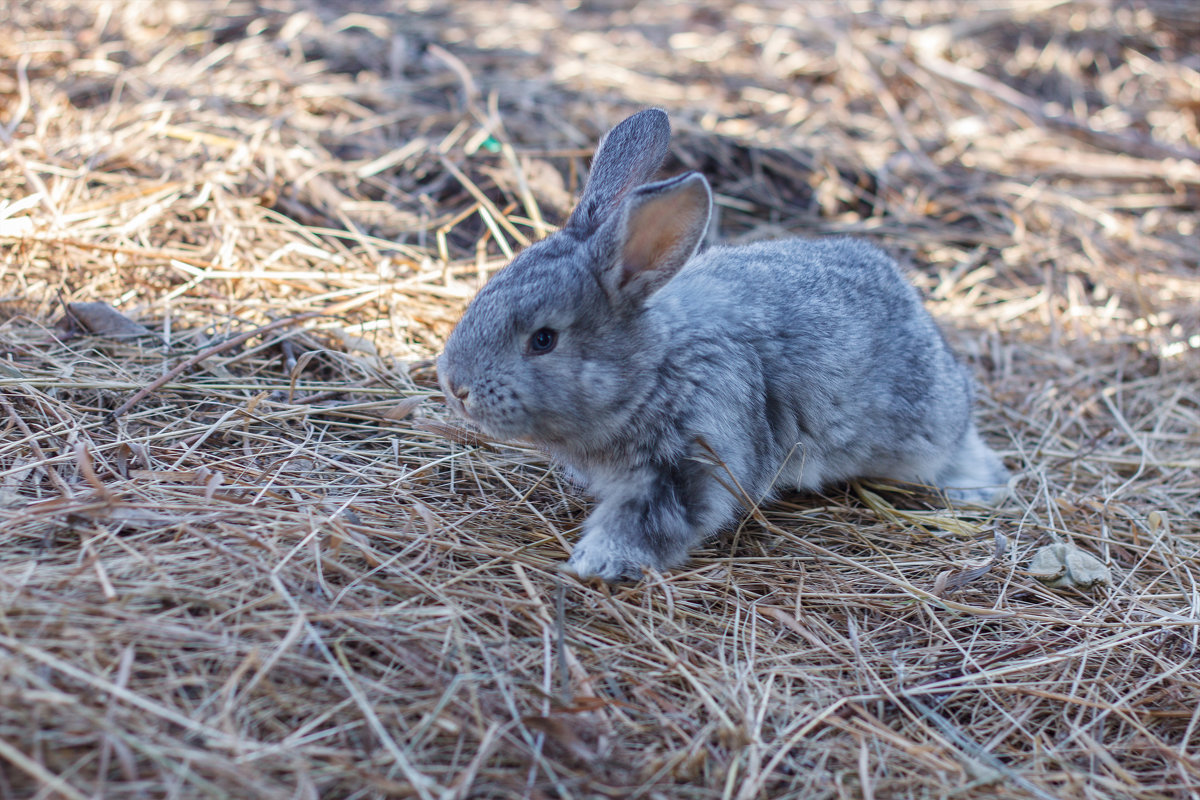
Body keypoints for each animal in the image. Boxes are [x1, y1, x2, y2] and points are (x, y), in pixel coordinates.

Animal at [436, 107, 1008, 582]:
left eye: (544, 340)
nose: (455, 386)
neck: (656, 368)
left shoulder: (694, 459)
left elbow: (645, 523)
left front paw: (595, 564)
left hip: (925, 435)